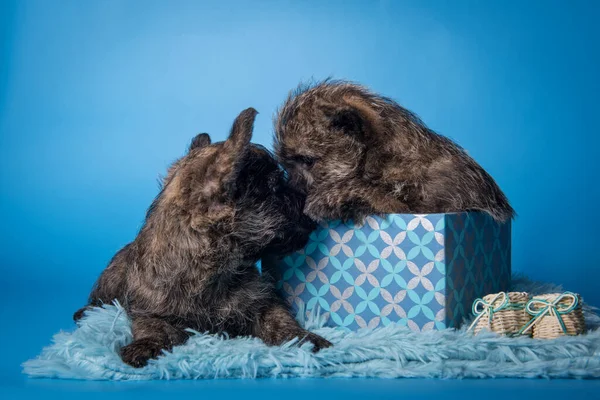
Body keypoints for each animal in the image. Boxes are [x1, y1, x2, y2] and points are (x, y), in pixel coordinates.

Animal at [74, 108, 332, 368]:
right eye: (274, 187)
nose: (307, 199)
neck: (212, 271)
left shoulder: (263, 302)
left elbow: (280, 319)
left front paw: (304, 338)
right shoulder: (150, 312)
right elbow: (154, 327)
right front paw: (146, 345)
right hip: (110, 279)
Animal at [274, 79, 512, 223]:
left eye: (307, 161)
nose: (288, 191)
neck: (385, 162)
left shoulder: (429, 207)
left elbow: (376, 194)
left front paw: (331, 197)